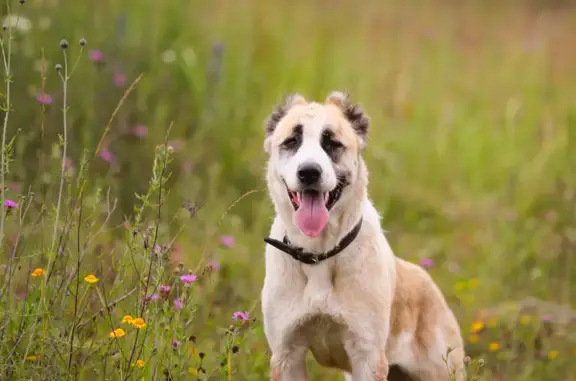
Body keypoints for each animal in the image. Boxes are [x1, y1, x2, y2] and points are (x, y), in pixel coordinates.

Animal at [262, 90, 468, 378]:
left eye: (332, 143)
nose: (309, 172)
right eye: (291, 141)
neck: (319, 254)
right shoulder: (287, 354)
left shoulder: (367, 356)